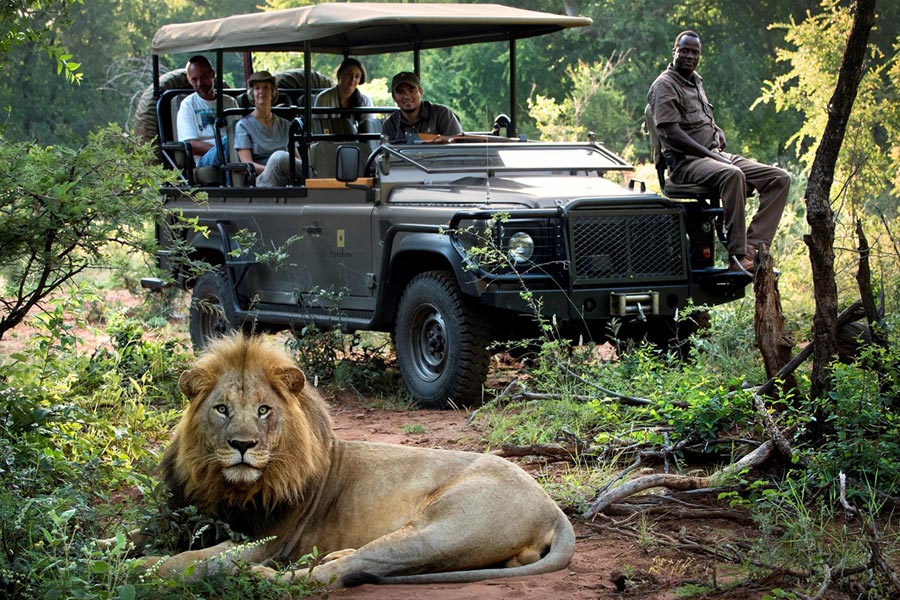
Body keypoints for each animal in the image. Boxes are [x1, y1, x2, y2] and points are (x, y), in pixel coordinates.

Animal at [141, 336, 576, 588]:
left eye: (264, 410)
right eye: (222, 409)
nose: (243, 445)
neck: (226, 486)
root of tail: (553, 507)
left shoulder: (265, 541)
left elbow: (184, 562)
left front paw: (142, 569)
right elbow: (136, 538)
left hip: (439, 530)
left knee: (338, 574)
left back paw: (264, 577)